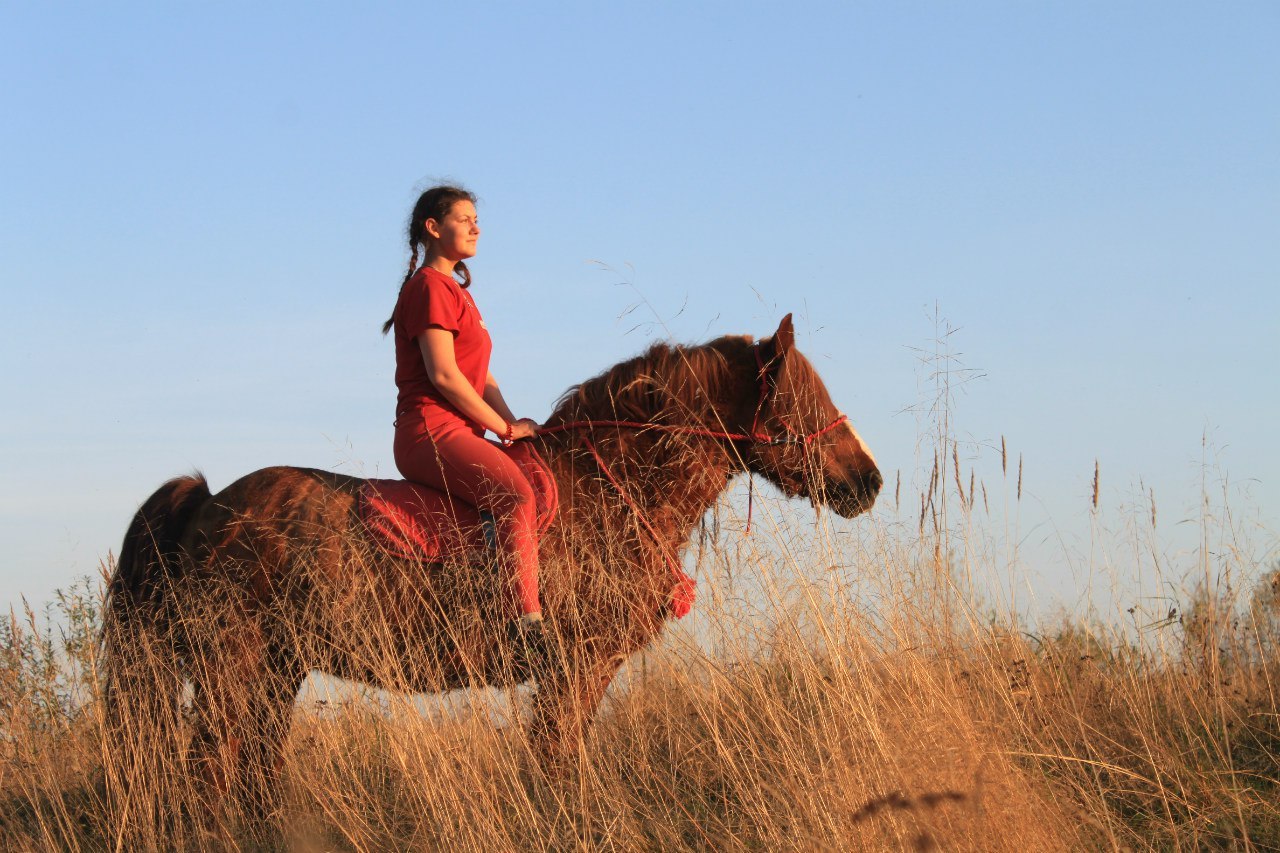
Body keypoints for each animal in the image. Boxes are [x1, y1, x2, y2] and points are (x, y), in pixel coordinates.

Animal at [104, 312, 880, 819]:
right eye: (801, 399)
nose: (868, 481)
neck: (607, 491)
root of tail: (206, 502)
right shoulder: (578, 665)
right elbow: (558, 762)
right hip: (231, 672)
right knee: (209, 773)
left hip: (273, 673)